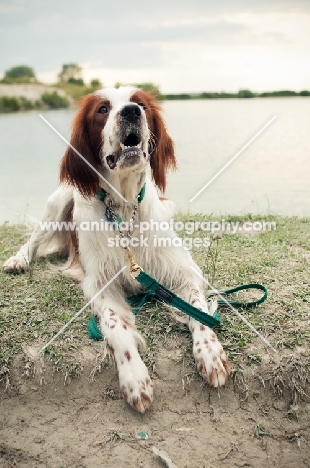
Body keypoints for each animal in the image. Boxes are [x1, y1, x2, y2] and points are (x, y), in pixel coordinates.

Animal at [3, 86, 230, 412]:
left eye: (142, 105)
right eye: (102, 109)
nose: (131, 112)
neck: (124, 207)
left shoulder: (182, 270)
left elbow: (198, 310)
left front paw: (210, 352)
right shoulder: (99, 283)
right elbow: (117, 328)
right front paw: (134, 377)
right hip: (58, 202)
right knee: (34, 238)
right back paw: (18, 260)